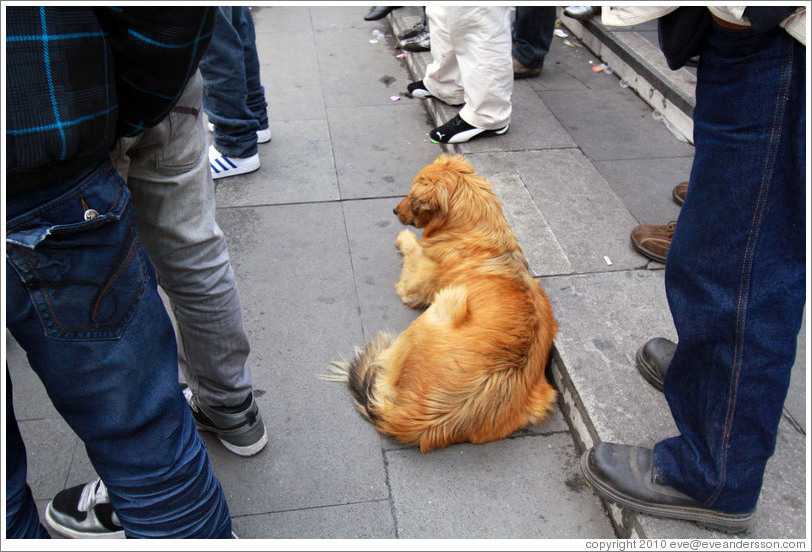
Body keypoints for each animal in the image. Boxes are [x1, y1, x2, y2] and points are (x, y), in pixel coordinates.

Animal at [324, 153, 560, 450]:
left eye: (412, 196)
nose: (394, 211)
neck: (477, 228)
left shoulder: (412, 287)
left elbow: (413, 248)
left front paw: (405, 238)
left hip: (442, 304)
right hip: (544, 397)